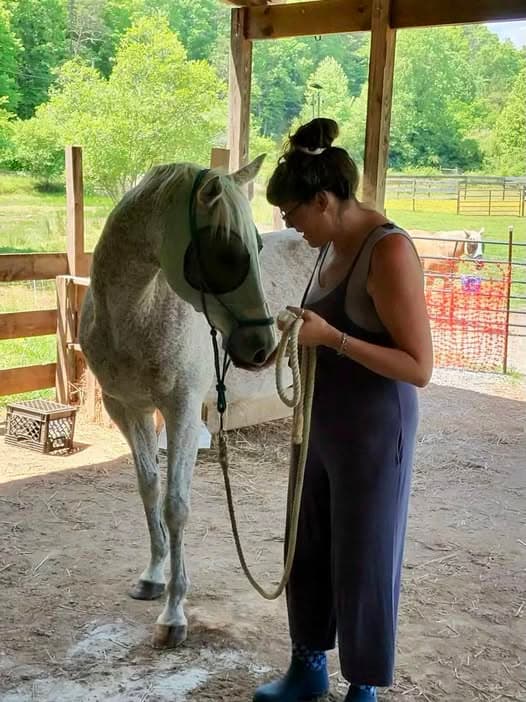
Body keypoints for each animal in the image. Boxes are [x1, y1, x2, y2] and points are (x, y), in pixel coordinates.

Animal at [79, 156, 277, 648]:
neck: (138, 312)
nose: (261, 347)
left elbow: (176, 506)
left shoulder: (182, 411)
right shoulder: (127, 408)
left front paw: (173, 613)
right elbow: (149, 488)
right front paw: (153, 576)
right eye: (226, 253)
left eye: (258, 246)